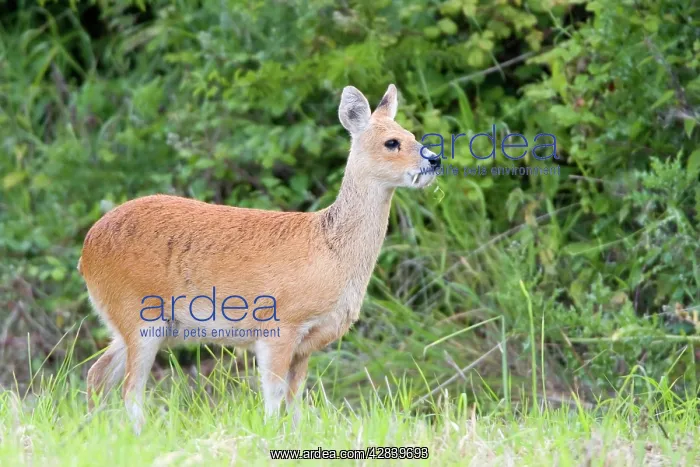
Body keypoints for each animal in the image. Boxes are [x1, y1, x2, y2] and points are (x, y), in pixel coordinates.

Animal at [78, 84, 442, 434]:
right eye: (392, 142)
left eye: (413, 135)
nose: (435, 159)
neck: (330, 251)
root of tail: (87, 251)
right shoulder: (279, 325)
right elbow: (273, 396)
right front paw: (267, 436)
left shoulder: (306, 344)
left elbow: (296, 401)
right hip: (137, 314)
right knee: (130, 390)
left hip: (138, 323)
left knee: (98, 374)